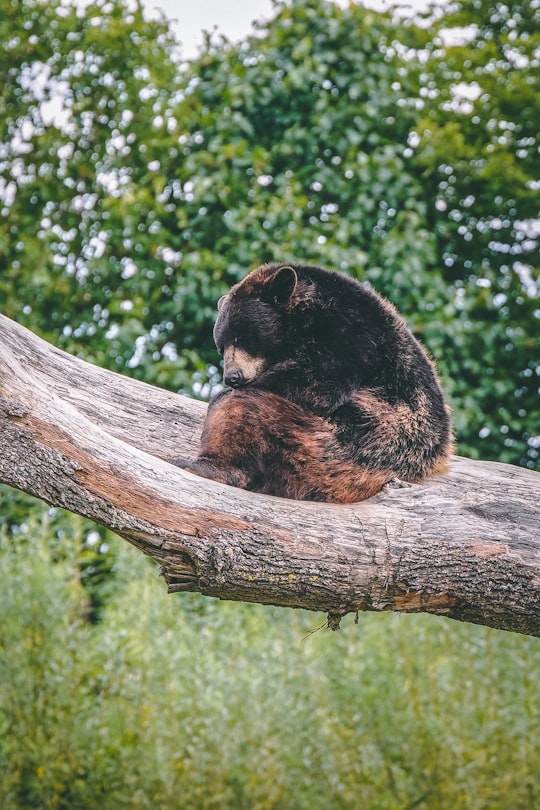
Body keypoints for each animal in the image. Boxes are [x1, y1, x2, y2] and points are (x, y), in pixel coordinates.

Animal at [173, 262, 452, 502]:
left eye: (244, 337)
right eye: (221, 346)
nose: (232, 376)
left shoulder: (349, 336)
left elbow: (317, 383)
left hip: (334, 448)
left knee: (242, 411)